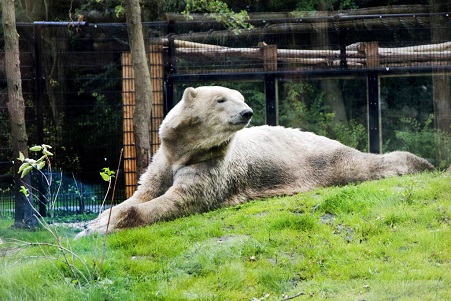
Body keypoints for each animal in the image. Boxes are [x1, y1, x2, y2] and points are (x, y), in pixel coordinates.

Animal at [76, 85, 432, 237]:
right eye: (222, 99)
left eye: (242, 98)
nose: (247, 112)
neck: (184, 151)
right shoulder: (162, 160)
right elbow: (141, 193)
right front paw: (94, 221)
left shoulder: (211, 169)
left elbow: (179, 200)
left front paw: (99, 228)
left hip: (325, 160)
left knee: (363, 165)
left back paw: (419, 163)